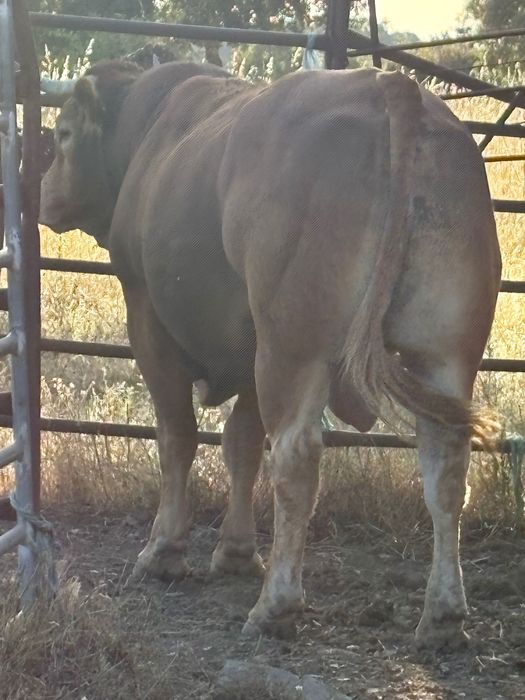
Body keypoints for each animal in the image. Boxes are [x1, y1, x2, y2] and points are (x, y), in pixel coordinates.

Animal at [39, 59, 501, 649]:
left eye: (62, 134)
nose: (45, 192)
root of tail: (391, 86)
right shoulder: (251, 345)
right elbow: (241, 441)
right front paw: (235, 552)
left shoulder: (149, 319)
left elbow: (177, 436)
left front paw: (164, 550)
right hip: (444, 352)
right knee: (446, 465)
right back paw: (442, 615)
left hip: (293, 347)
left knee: (296, 458)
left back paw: (276, 604)